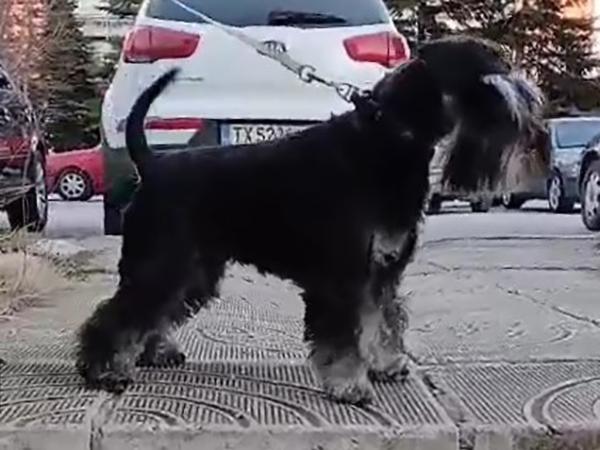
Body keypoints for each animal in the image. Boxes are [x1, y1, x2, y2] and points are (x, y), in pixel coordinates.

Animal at [77, 35, 545, 405]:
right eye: (491, 84)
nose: (535, 137)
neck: (390, 137)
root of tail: (153, 166)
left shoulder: (381, 274)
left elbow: (381, 322)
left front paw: (387, 364)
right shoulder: (344, 276)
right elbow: (344, 335)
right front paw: (349, 385)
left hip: (195, 268)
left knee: (156, 309)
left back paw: (155, 352)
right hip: (163, 260)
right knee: (120, 313)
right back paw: (104, 371)